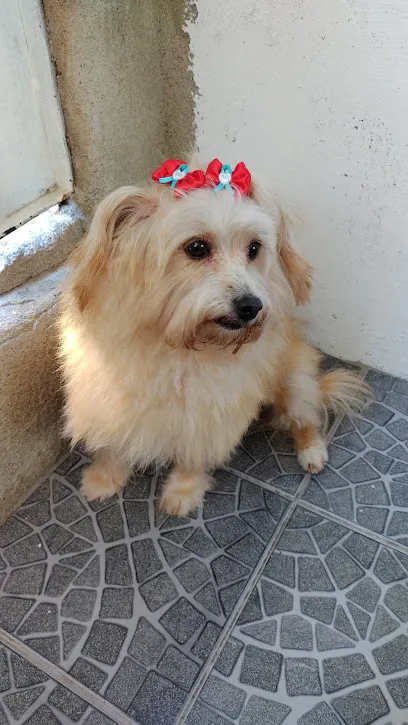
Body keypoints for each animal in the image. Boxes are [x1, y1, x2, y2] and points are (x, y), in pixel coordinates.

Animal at [58, 158, 370, 516]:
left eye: (254, 248)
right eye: (196, 247)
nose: (252, 306)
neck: (176, 344)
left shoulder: (210, 407)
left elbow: (195, 453)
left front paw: (183, 491)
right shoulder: (108, 391)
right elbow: (115, 441)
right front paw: (105, 477)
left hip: (295, 382)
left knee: (306, 418)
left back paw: (312, 451)